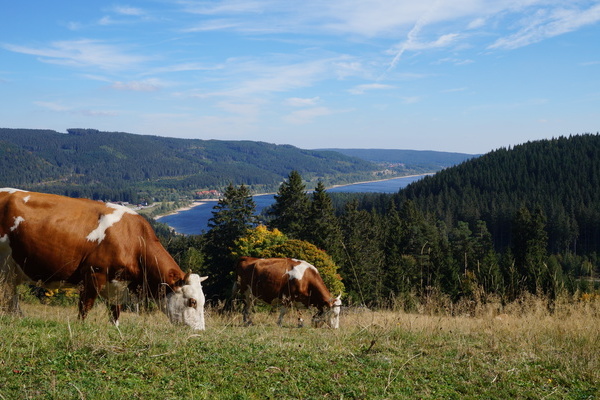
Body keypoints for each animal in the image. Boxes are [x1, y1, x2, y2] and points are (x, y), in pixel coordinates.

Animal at [0, 189, 209, 330]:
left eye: (203, 301)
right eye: (192, 302)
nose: (199, 332)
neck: (133, 239)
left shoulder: (117, 284)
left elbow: (115, 312)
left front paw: (115, 330)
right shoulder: (94, 274)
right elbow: (85, 307)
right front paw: (80, 327)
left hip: (12, 270)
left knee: (11, 296)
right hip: (5, 265)